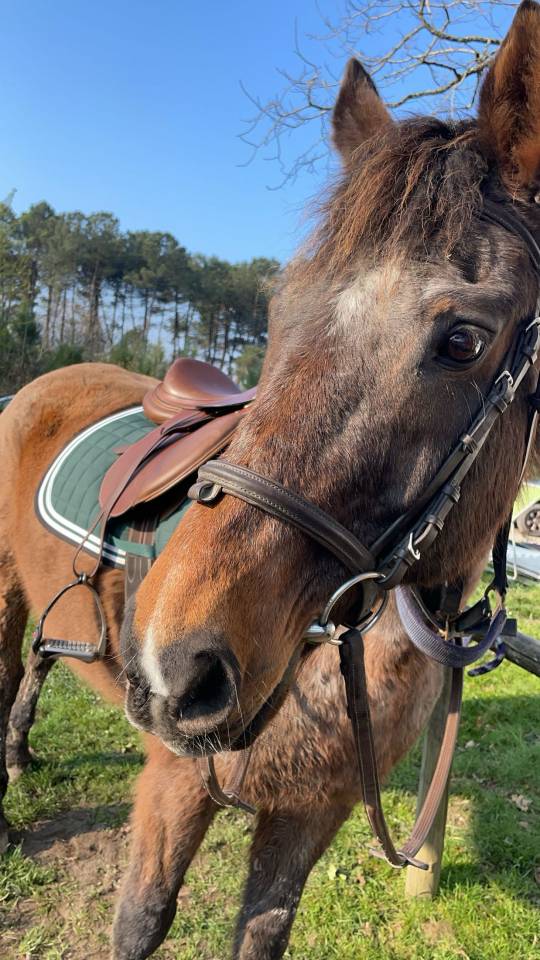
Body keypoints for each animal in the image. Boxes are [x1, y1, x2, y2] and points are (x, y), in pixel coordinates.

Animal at [2, 3, 540, 957]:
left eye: (465, 339)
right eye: (280, 308)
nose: (173, 666)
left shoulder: (310, 815)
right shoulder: (175, 786)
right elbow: (141, 923)